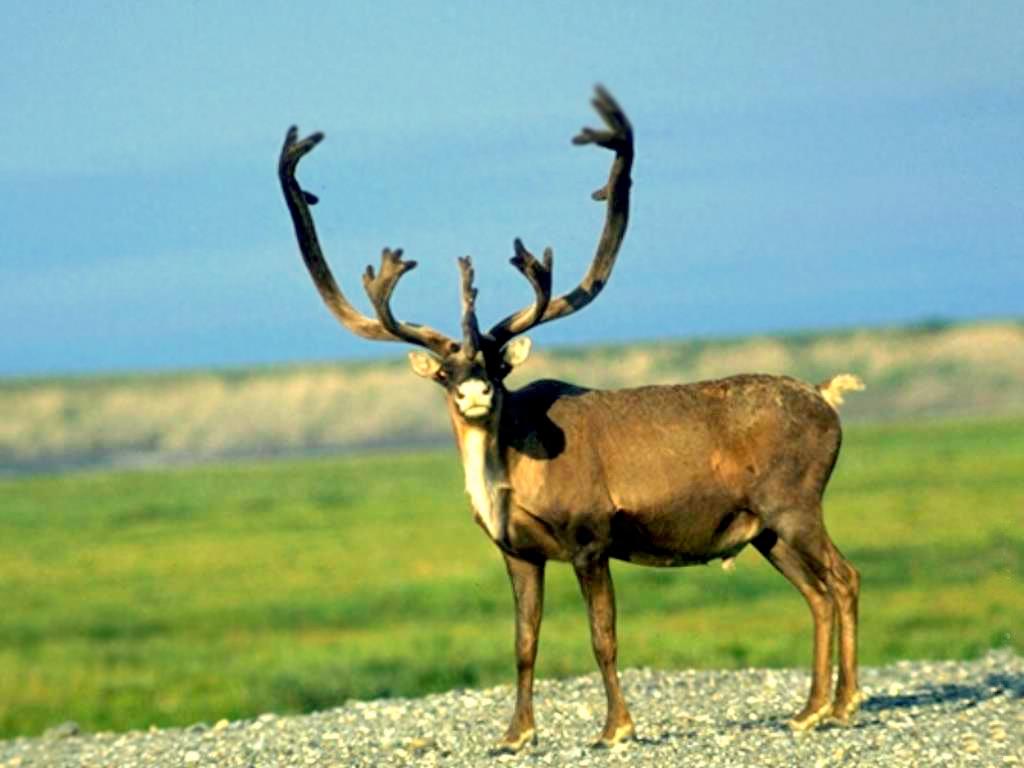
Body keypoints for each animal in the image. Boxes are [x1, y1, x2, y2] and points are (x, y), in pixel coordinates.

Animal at [278, 87, 864, 752]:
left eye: (496, 363)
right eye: (447, 372)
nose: (476, 391)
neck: (506, 475)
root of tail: (827, 397)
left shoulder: (590, 539)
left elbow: (602, 637)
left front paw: (616, 728)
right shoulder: (518, 552)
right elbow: (524, 644)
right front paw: (515, 734)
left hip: (795, 506)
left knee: (844, 579)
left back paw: (844, 704)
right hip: (764, 529)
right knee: (816, 593)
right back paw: (809, 709)